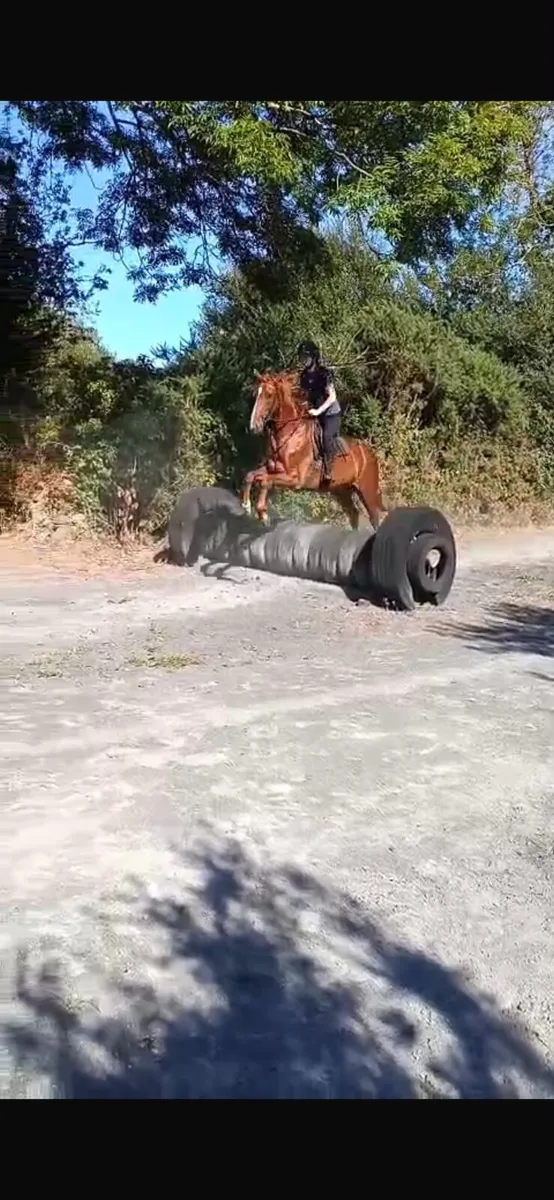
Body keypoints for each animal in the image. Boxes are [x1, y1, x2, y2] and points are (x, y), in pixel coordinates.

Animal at [240, 370, 385, 530]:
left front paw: (263, 515)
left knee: (375, 516)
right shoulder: (273, 469)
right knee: (353, 513)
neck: (289, 434)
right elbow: (251, 475)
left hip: (367, 490)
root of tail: (370, 453)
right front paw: (246, 506)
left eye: (269, 394)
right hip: (342, 491)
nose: (254, 426)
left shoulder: (294, 479)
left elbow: (265, 481)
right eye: (256, 393)